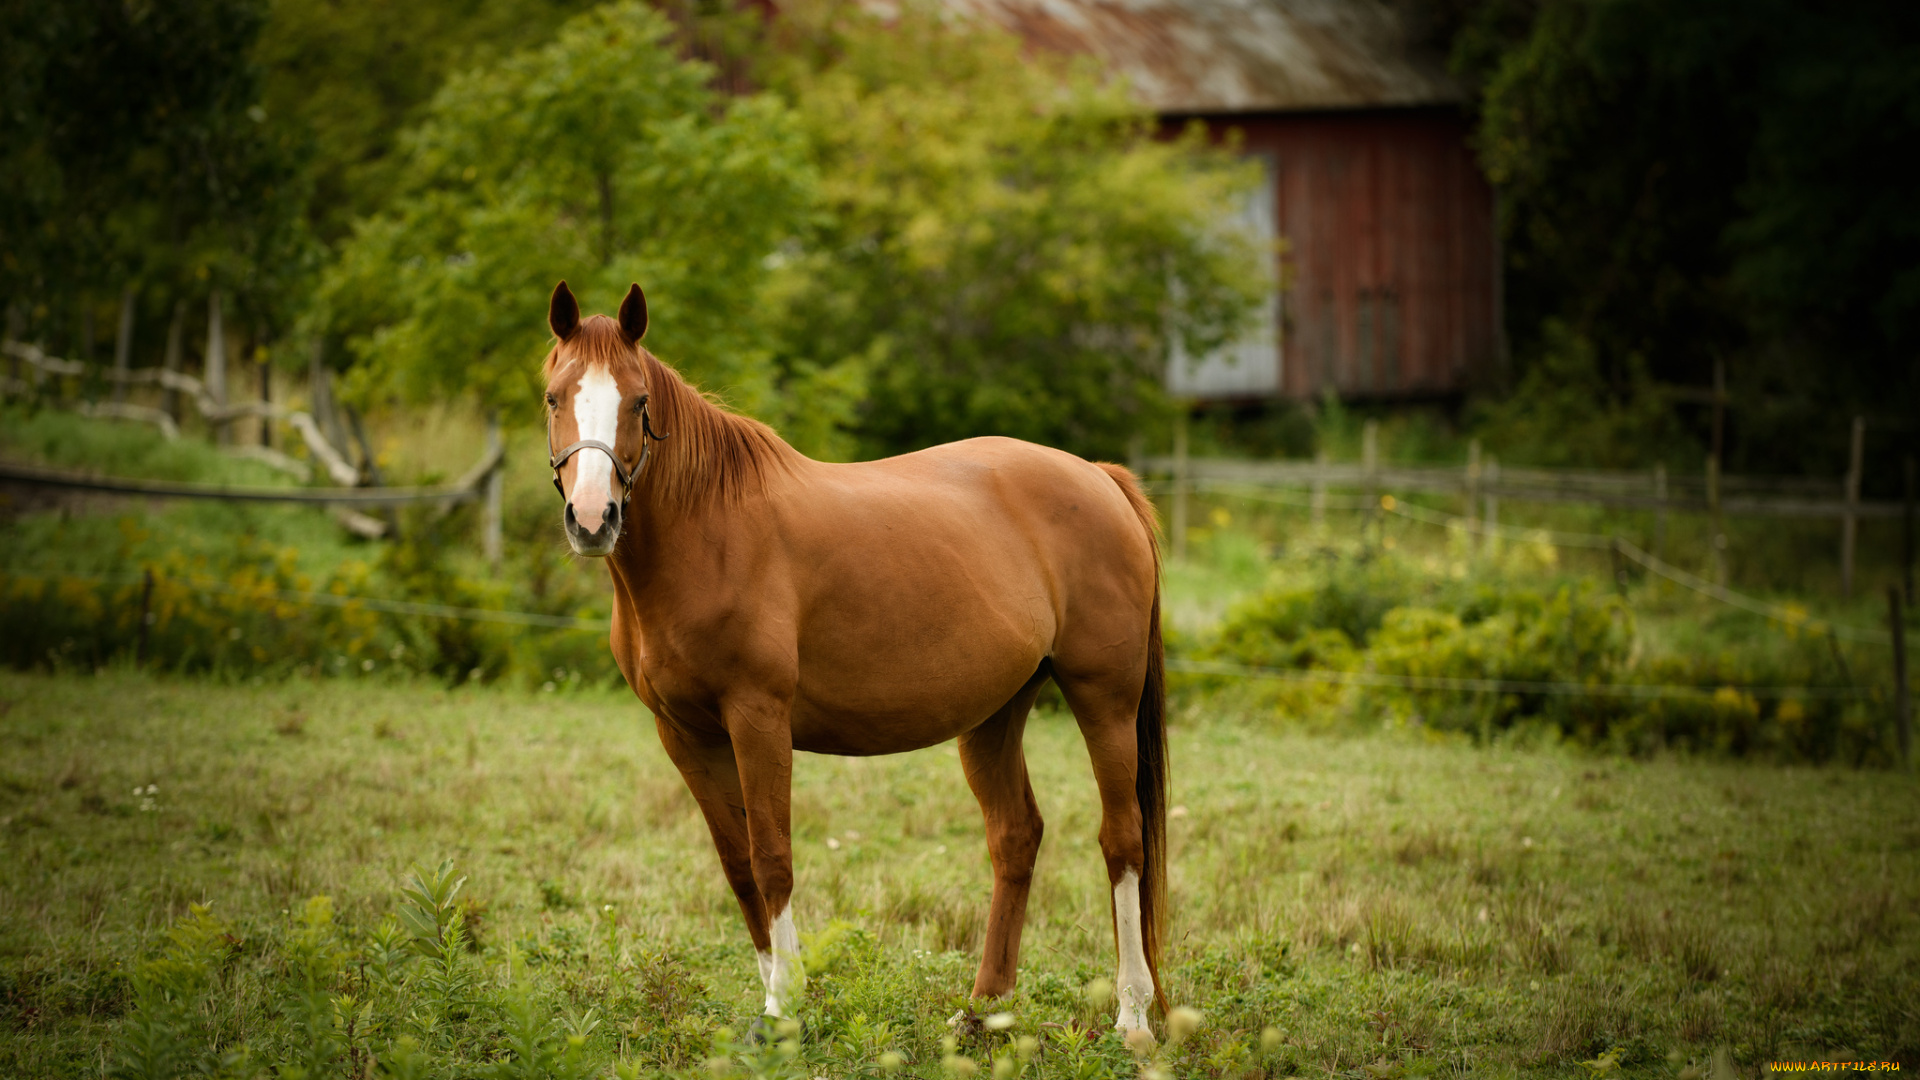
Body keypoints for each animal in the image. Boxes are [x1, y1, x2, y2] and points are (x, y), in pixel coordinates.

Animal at [541, 282, 1167, 1030]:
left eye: (638, 402)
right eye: (553, 397)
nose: (592, 519)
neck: (710, 531)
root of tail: (1100, 478)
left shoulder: (757, 720)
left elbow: (772, 856)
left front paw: (786, 1006)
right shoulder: (684, 733)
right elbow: (736, 864)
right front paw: (771, 997)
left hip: (1105, 699)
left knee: (1122, 839)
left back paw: (1132, 1019)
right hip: (995, 713)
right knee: (1016, 836)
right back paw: (982, 1012)